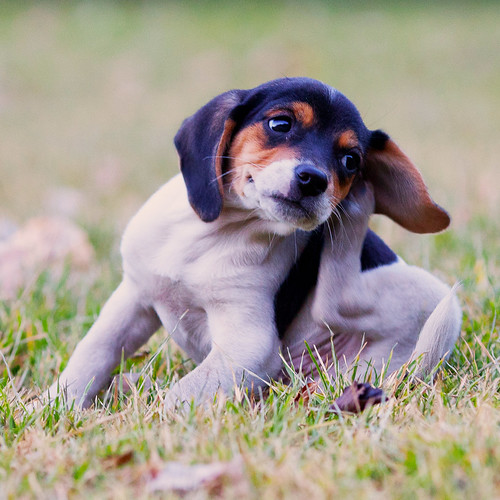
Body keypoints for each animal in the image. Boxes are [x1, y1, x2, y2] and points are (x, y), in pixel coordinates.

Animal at [40, 77, 460, 410]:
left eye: (351, 160)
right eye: (280, 124)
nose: (314, 180)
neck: (214, 237)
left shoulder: (249, 344)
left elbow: (182, 394)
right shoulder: (133, 297)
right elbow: (92, 355)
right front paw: (51, 404)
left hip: (424, 298)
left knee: (335, 295)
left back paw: (357, 209)